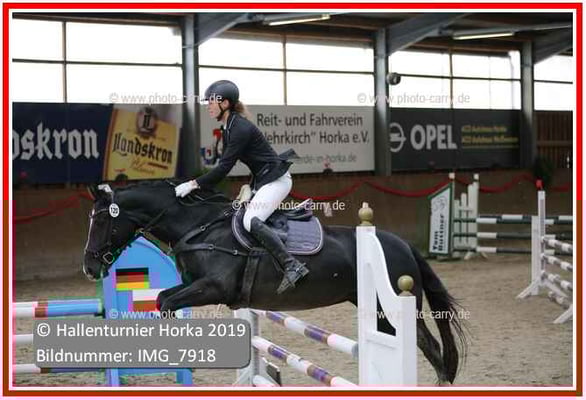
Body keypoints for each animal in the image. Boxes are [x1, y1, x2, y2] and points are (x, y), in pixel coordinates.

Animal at [82, 180, 467, 384]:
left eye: (100, 221)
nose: (88, 267)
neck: (198, 228)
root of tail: (400, 243)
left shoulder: (215, 287)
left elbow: (165, 301)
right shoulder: (199, 287)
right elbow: (164, 298)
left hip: (388, 312)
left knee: (429, 346)